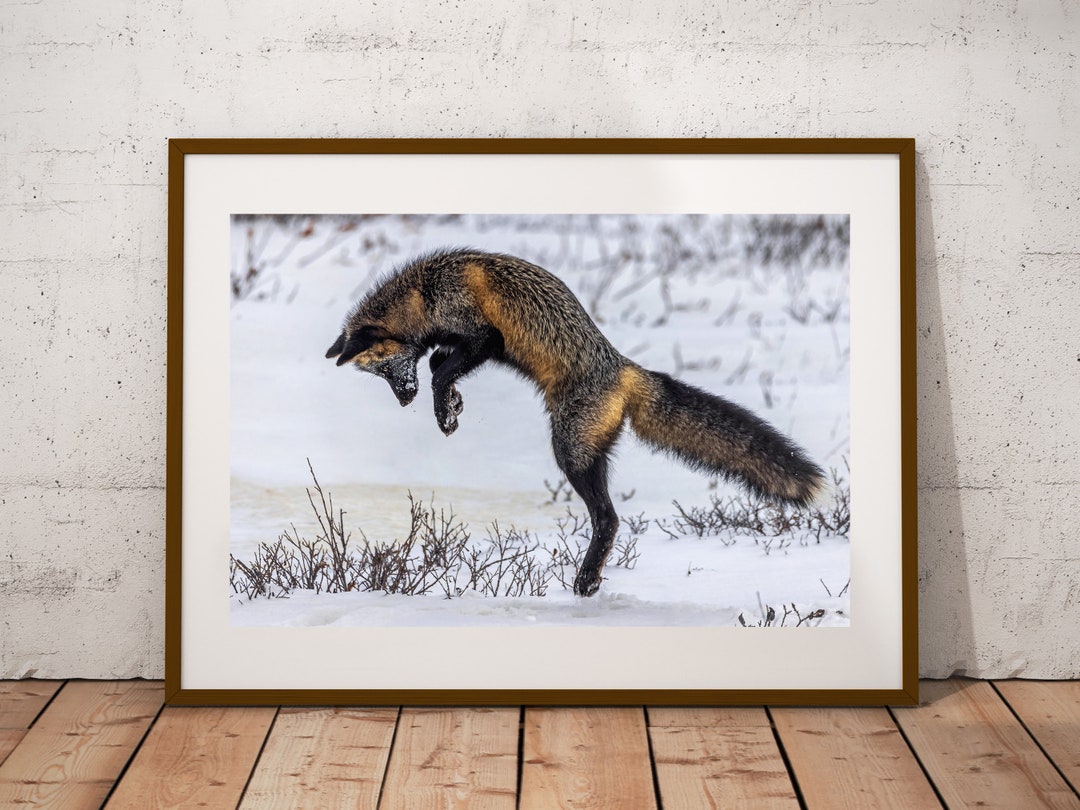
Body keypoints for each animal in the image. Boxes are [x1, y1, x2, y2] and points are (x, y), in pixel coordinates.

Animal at [326, 248, 826, 597]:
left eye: (386, 368)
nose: (404, 399)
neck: (426, 292)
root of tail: (624, 369)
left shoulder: (485, 335)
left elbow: (440, 368)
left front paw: (443, 411)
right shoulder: (461, 341)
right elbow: (439, 365)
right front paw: (452, 403)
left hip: (569, 450)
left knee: (608, 517)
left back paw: (585, 580)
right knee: (609, 518)